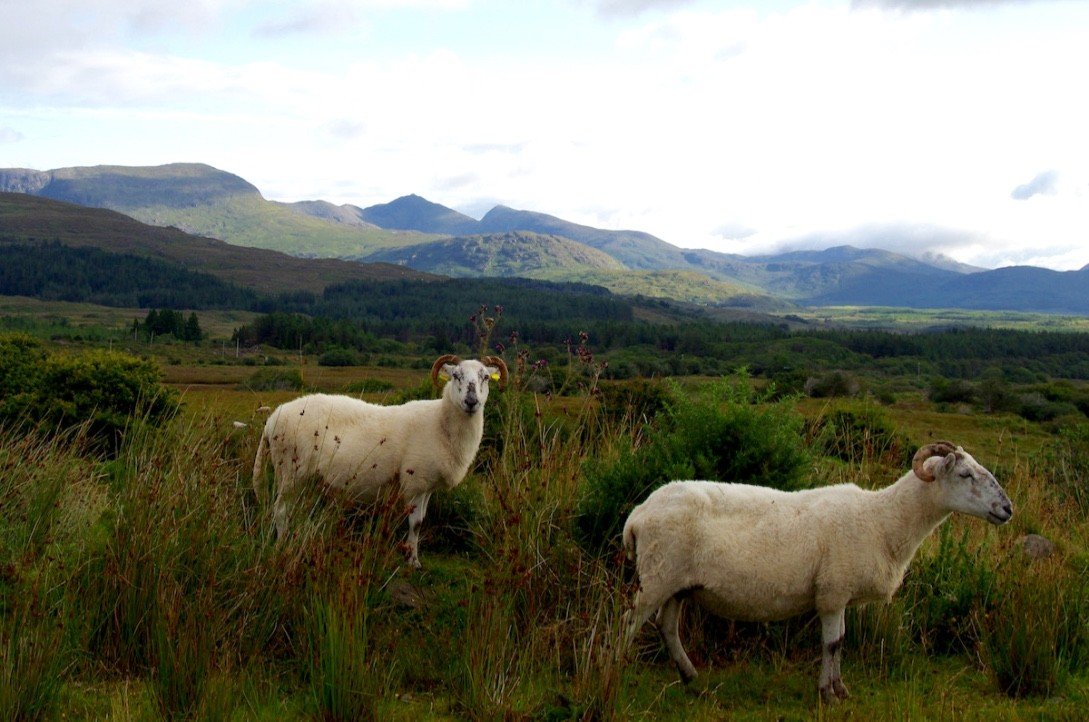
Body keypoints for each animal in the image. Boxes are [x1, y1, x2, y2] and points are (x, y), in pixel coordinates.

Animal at [252, 352, 507, 566]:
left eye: (485, 377)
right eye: (456, 375)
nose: (471, 402)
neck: (439, 423)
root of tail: (272, 420)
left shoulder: (427, 485)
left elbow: (421, 521)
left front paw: (412, 555)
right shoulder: (414, 482)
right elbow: (415, 523)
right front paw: (412, 561)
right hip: (290, 470)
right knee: (280, 510)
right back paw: (283, 545)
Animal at [627, 439, 1014, 705]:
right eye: (965, 474)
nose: (1007, 509)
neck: (882, 520)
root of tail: (639, 513)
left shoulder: (839, 594)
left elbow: (840, 640)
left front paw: (840, 689)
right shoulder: (831, 591)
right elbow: (831, 643)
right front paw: (827, 693)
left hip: (678, 584)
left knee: (666, 626)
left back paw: (690, 676)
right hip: (656, 576)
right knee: (629, 623)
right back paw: (617, 670)